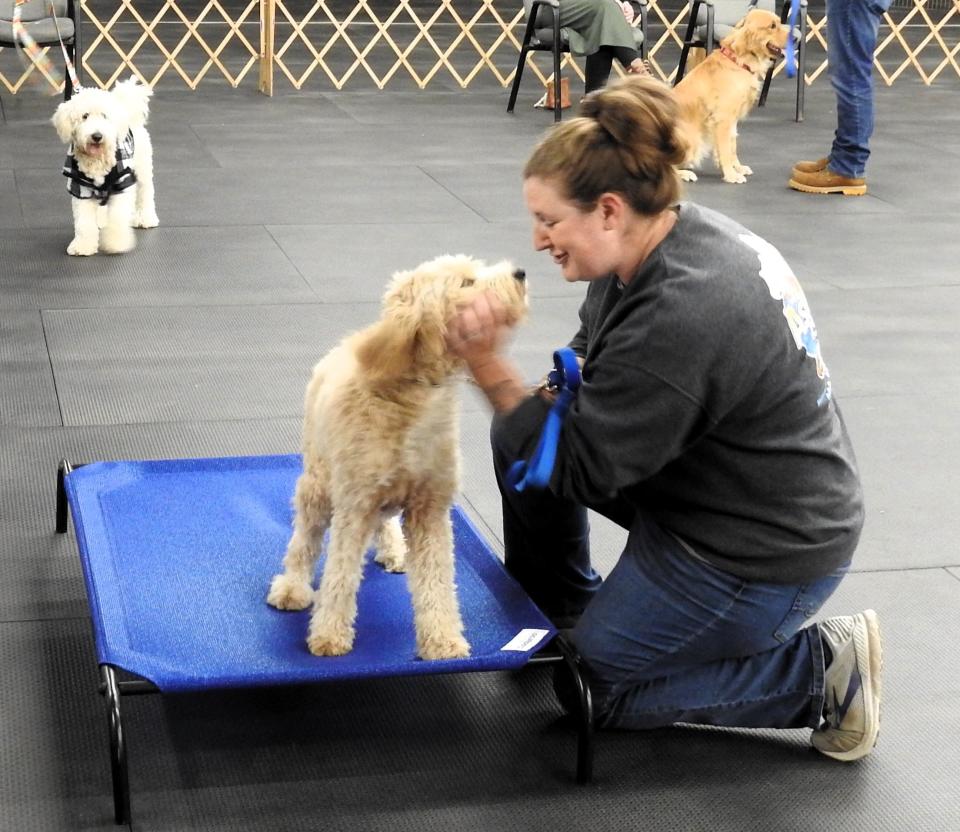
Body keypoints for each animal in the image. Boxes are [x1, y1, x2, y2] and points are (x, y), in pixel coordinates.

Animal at [52, 78, 158, 255]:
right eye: (85, 116)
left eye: (104, 116)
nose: (97, 136)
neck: (97, 160)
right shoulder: (81, 188)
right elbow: (84, 223)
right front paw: (83, 246)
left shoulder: (122, 184)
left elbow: (117, 217)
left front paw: (115, 242)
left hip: (142, 169)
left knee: (145, 194)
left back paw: (146, 218)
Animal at [266, 256, 528, 660]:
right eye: (467, 282)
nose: (520, 273)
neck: (412, 398)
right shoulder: (354, 506)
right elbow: (340, 575)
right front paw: (329, 634)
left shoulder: (430, 509)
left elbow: (438, 583)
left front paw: (442, 639)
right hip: (318, 485)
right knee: (305, 539)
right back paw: (293, 585)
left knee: (385, 520)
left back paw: (393, 549)